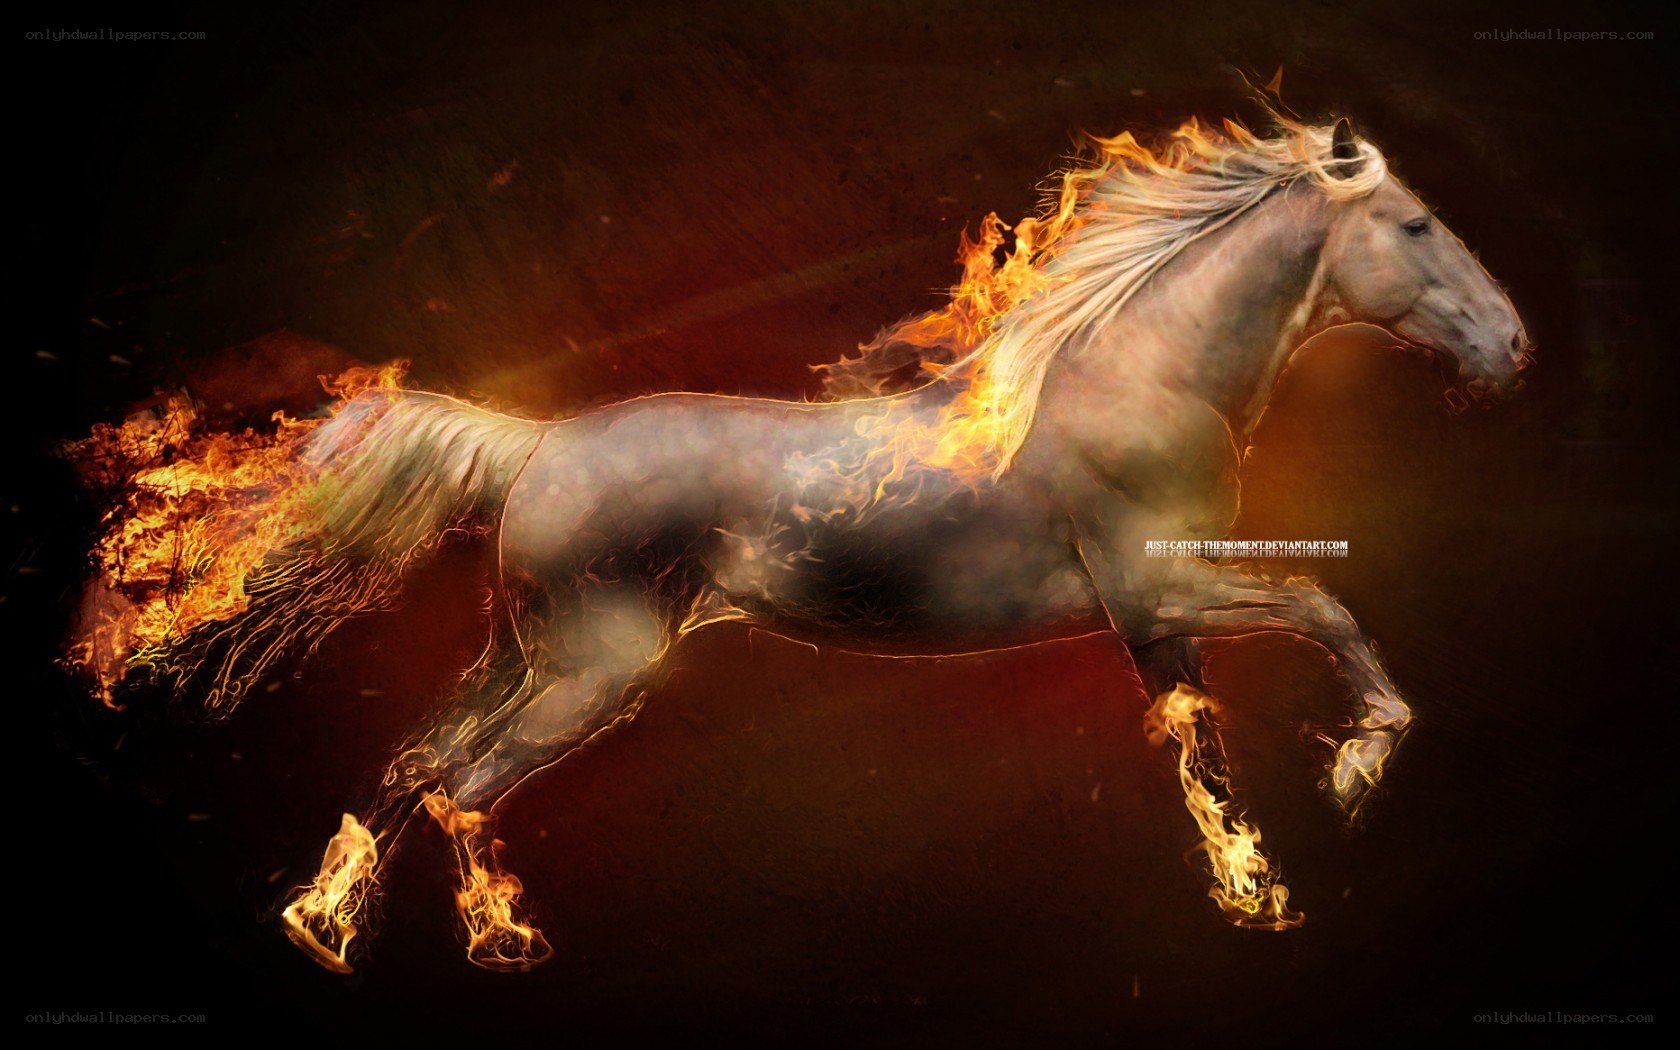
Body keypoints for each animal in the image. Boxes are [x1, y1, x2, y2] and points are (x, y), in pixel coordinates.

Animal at [74, 116, 1530, 973]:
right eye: (1412, 226)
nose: (1511, 344)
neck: (1138, 374)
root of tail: (535, 449)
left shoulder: (1152, 620)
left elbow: (1214, 742)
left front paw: (1263, 881)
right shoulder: (1157, 589)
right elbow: (1316, 619)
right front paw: (1349, 778)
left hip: (525, 655)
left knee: (419, 763)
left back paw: (334, 926)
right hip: (592, 670)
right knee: (463, 780)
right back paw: (479, 936)